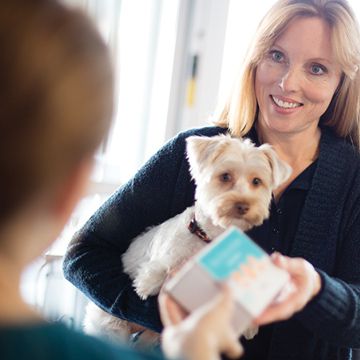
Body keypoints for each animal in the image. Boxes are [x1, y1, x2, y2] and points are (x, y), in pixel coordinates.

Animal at [84, 134, 292, 344]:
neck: (209, 238)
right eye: (225, 176)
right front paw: (148, 284)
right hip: (110, 326)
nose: (243, 205)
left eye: (256, 181)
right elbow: (161, 267)